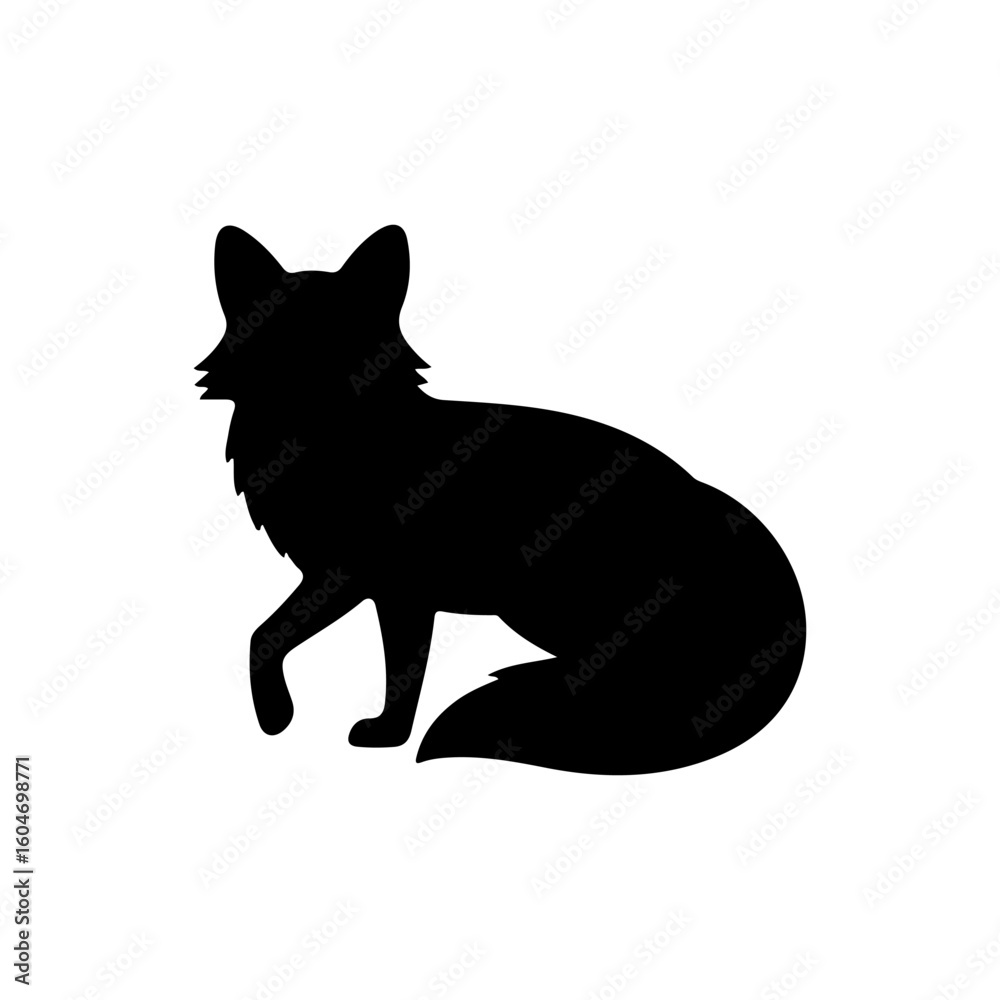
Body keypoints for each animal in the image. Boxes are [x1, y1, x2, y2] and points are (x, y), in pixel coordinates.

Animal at [196, 224, 806, 775]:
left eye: (342, 331)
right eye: (280, 332)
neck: (332, 439)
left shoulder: (381, 583)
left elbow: (343, 656)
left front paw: (356, 729)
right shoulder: (362, 584)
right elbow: (286, 640)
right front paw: (307, 721)